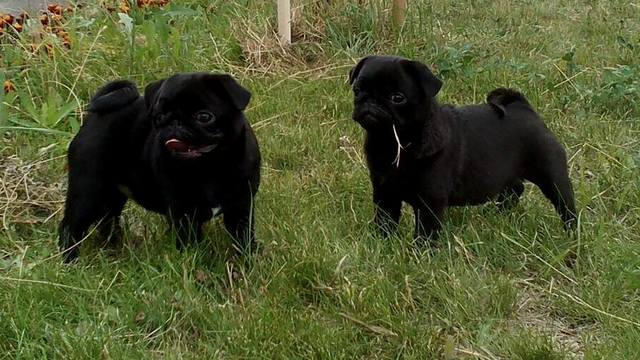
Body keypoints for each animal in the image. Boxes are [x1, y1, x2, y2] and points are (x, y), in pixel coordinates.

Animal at [58, 72, 260, 262]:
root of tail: (94, 117)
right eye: (159, 116)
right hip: (87, 191)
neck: (210, 167)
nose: (174, 123)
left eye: (204, 117)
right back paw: (70, 261)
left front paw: (247, 262)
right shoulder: (183, 214)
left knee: (107, 221)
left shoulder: (240, 207)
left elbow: (243, 239)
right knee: (71, 227)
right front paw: (194, 264)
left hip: (112, 196)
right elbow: (189, 244)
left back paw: (113, 248)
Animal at [350, 55, 576, 242]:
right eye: (357, 90)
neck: (391, 142)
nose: (370, 103)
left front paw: (422, 253)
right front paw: (382, 243)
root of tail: (523, 107)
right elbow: (385, 221)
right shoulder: (385, 193)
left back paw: (572, 231)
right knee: (515, 188)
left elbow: (426, 230)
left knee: (564, 203)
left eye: (397, 98)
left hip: (550, 173)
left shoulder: (430, 199)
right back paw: (499, 214)